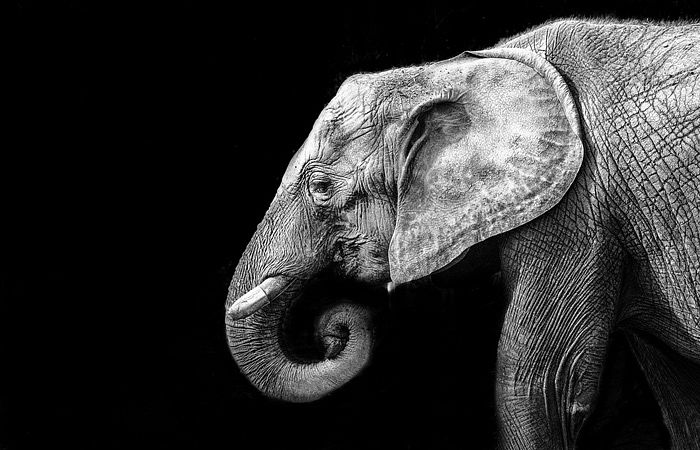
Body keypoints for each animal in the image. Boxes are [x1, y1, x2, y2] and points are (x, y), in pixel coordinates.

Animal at [225, 18, 700, 449]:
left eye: (321, 188)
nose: (333, 331)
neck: (455, 71)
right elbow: (680, 398)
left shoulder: (576, 208)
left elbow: (539, 388)